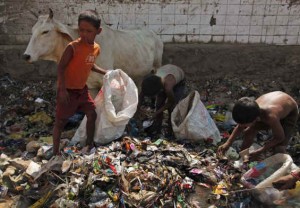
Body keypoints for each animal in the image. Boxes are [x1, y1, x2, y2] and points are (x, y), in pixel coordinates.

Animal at [24, 9, 164, 96]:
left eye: (45, 31)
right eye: (32, 30)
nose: (26, 55)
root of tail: (154, 34)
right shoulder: (90, 86)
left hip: (157, 68)